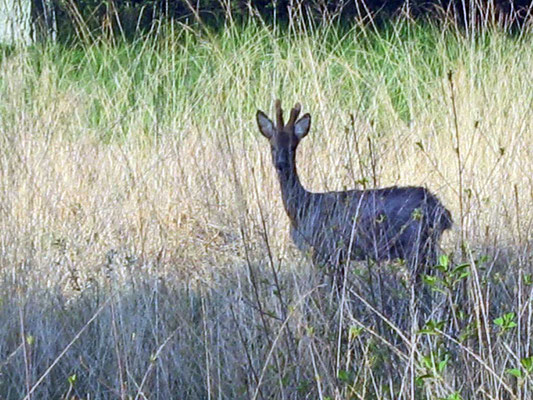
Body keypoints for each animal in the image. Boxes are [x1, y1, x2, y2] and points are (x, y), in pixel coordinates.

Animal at [256, 100, 450, 282]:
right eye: (272, 146)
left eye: (292, 147)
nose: (281, 165)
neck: (302, 209)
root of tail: (442, 211)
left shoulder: (328, 250)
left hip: (416, 245)